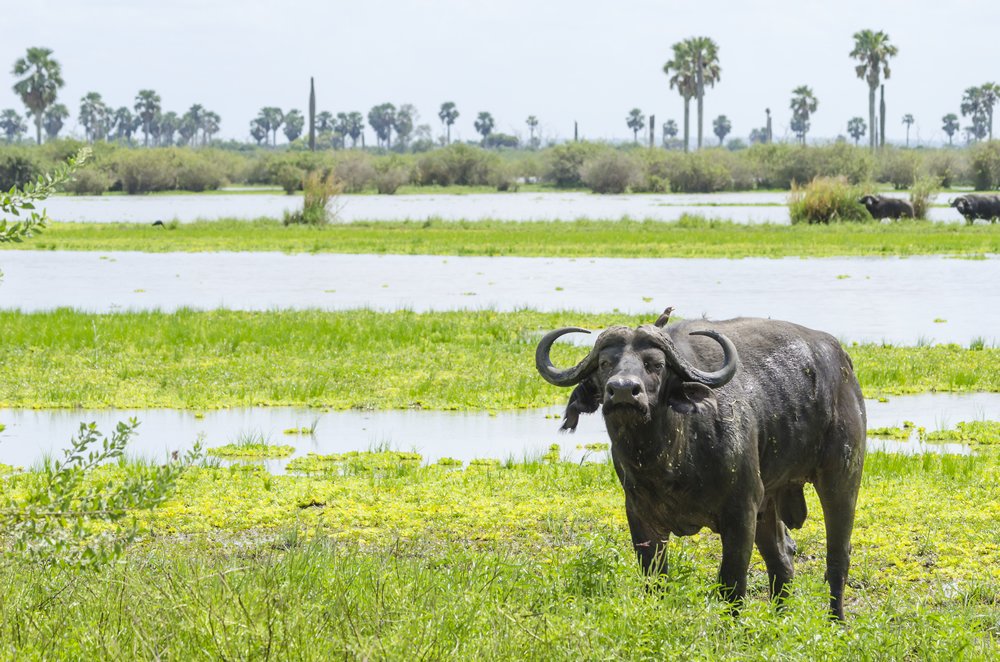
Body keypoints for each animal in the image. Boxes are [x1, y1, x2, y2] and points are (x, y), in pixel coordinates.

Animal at [536, 313, 866, 619]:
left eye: (655, 364)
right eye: (605, 364)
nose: (623, 390)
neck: (669, 460)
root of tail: (843, 363)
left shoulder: (741, 511)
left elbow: (731, 583)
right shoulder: (641, 517)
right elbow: (655, 581)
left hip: (842, 476)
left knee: (837, 557)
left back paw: (835, 622)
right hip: (770, 499)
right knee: (782, 560)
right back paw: (779, 620)